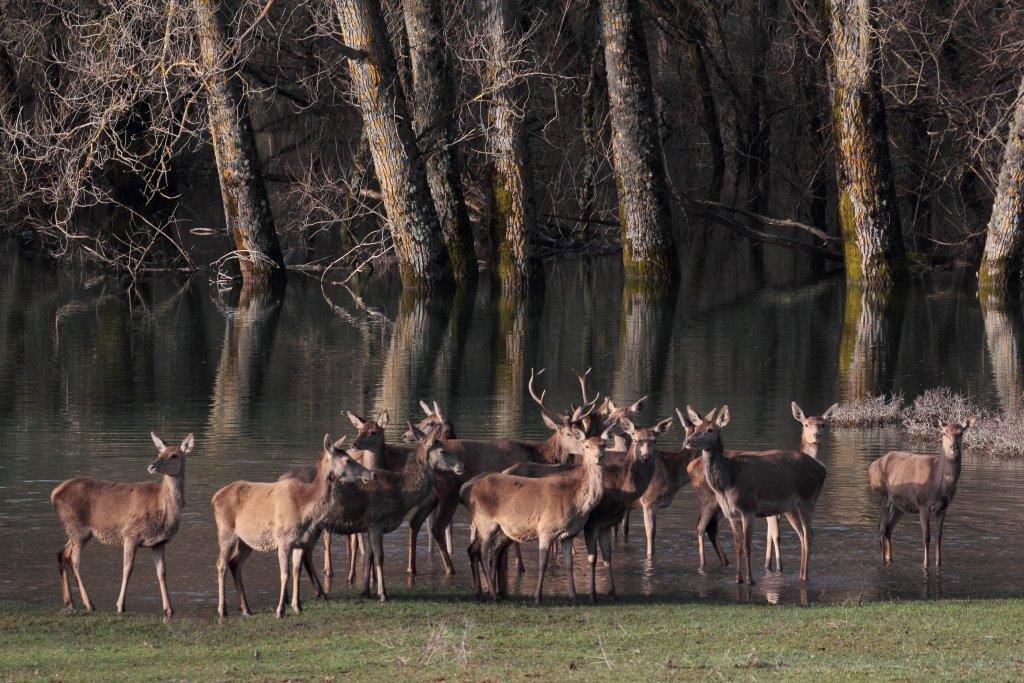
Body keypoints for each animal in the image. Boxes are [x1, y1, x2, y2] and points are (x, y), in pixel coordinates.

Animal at [50, 432, 195, 618]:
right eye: (160, 452)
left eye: (174, 455)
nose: (152, 466)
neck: (163, 510)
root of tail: (54, 494)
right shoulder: (130, 533)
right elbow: (127, 569)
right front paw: (120, 605)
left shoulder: (159, 542)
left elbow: (162, 573)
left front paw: (169, 609)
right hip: (77, 528)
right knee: (74, 560)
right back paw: (89, 604)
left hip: (77, 532)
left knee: (62, 554)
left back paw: (69, 602)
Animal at [212, 438, 376, 618]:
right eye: (347, 460)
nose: (372, 474)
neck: (305, 506)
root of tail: (215, 497)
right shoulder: (284, 539)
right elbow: (285, 574)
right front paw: (280, 610)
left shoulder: (301, 542)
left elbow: (297, 571)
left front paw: (297, 606)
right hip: (226, 530)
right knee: (221, 564)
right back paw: (222, 610)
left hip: (246, 540)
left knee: (235, 563)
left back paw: (246, 609)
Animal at [868, 419, 970, 569]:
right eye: (943, 433)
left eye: (961, 433)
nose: (954, 447)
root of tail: (870, 467)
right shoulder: (923, 504)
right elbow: (926, 537)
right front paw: (925, 564)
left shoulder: (943, 507)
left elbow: (939, 537)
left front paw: (938, 563)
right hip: (882, 497)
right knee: (881, 529)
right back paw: (883, 560)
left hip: (900, 506)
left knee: (888, 529)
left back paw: (890, 558)